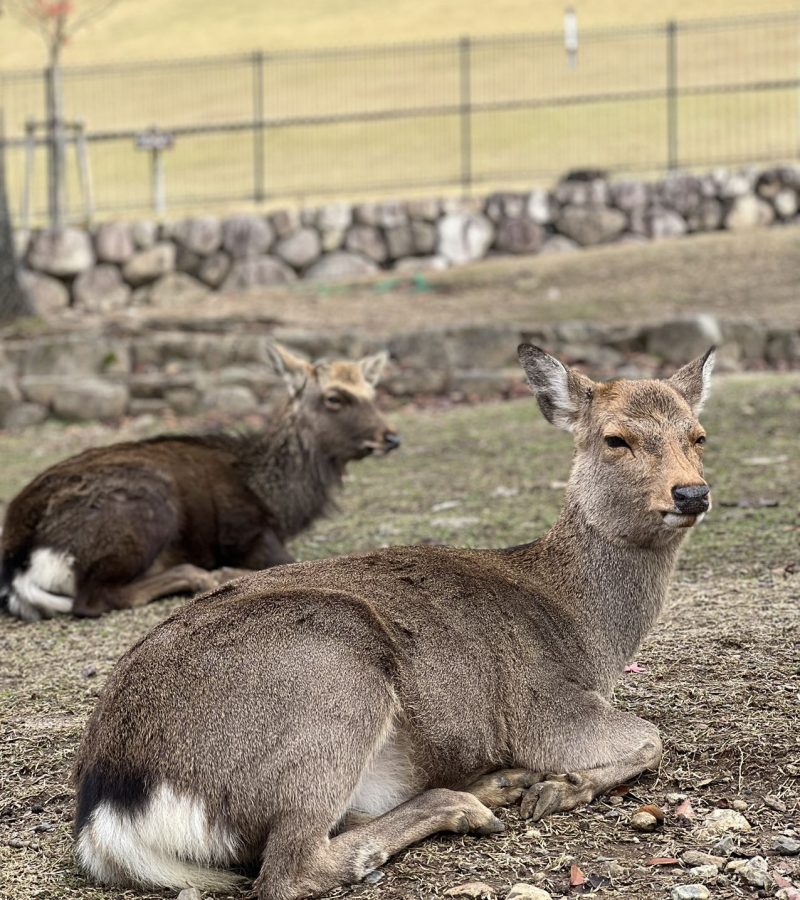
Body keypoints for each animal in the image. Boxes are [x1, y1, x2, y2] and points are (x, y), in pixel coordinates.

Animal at [0, 342, 400, 624]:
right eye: (334, 397)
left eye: (372, 394)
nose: (392, 437)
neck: (278, 503)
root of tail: (17, 560)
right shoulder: (248, 534)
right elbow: (293, 563)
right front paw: (224, 572)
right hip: (146, 506)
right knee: (92, 599)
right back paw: (199, 576)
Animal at [72, 342, 716, 896]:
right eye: (616, 438)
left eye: (699, 436)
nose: (692, 494)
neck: (586, 630)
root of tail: (112, 808)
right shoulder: (543, 706)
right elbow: (653, 737)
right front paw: (561, 787)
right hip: (332, 677)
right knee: (291, 868)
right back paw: (468, 803)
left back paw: (494, 784)